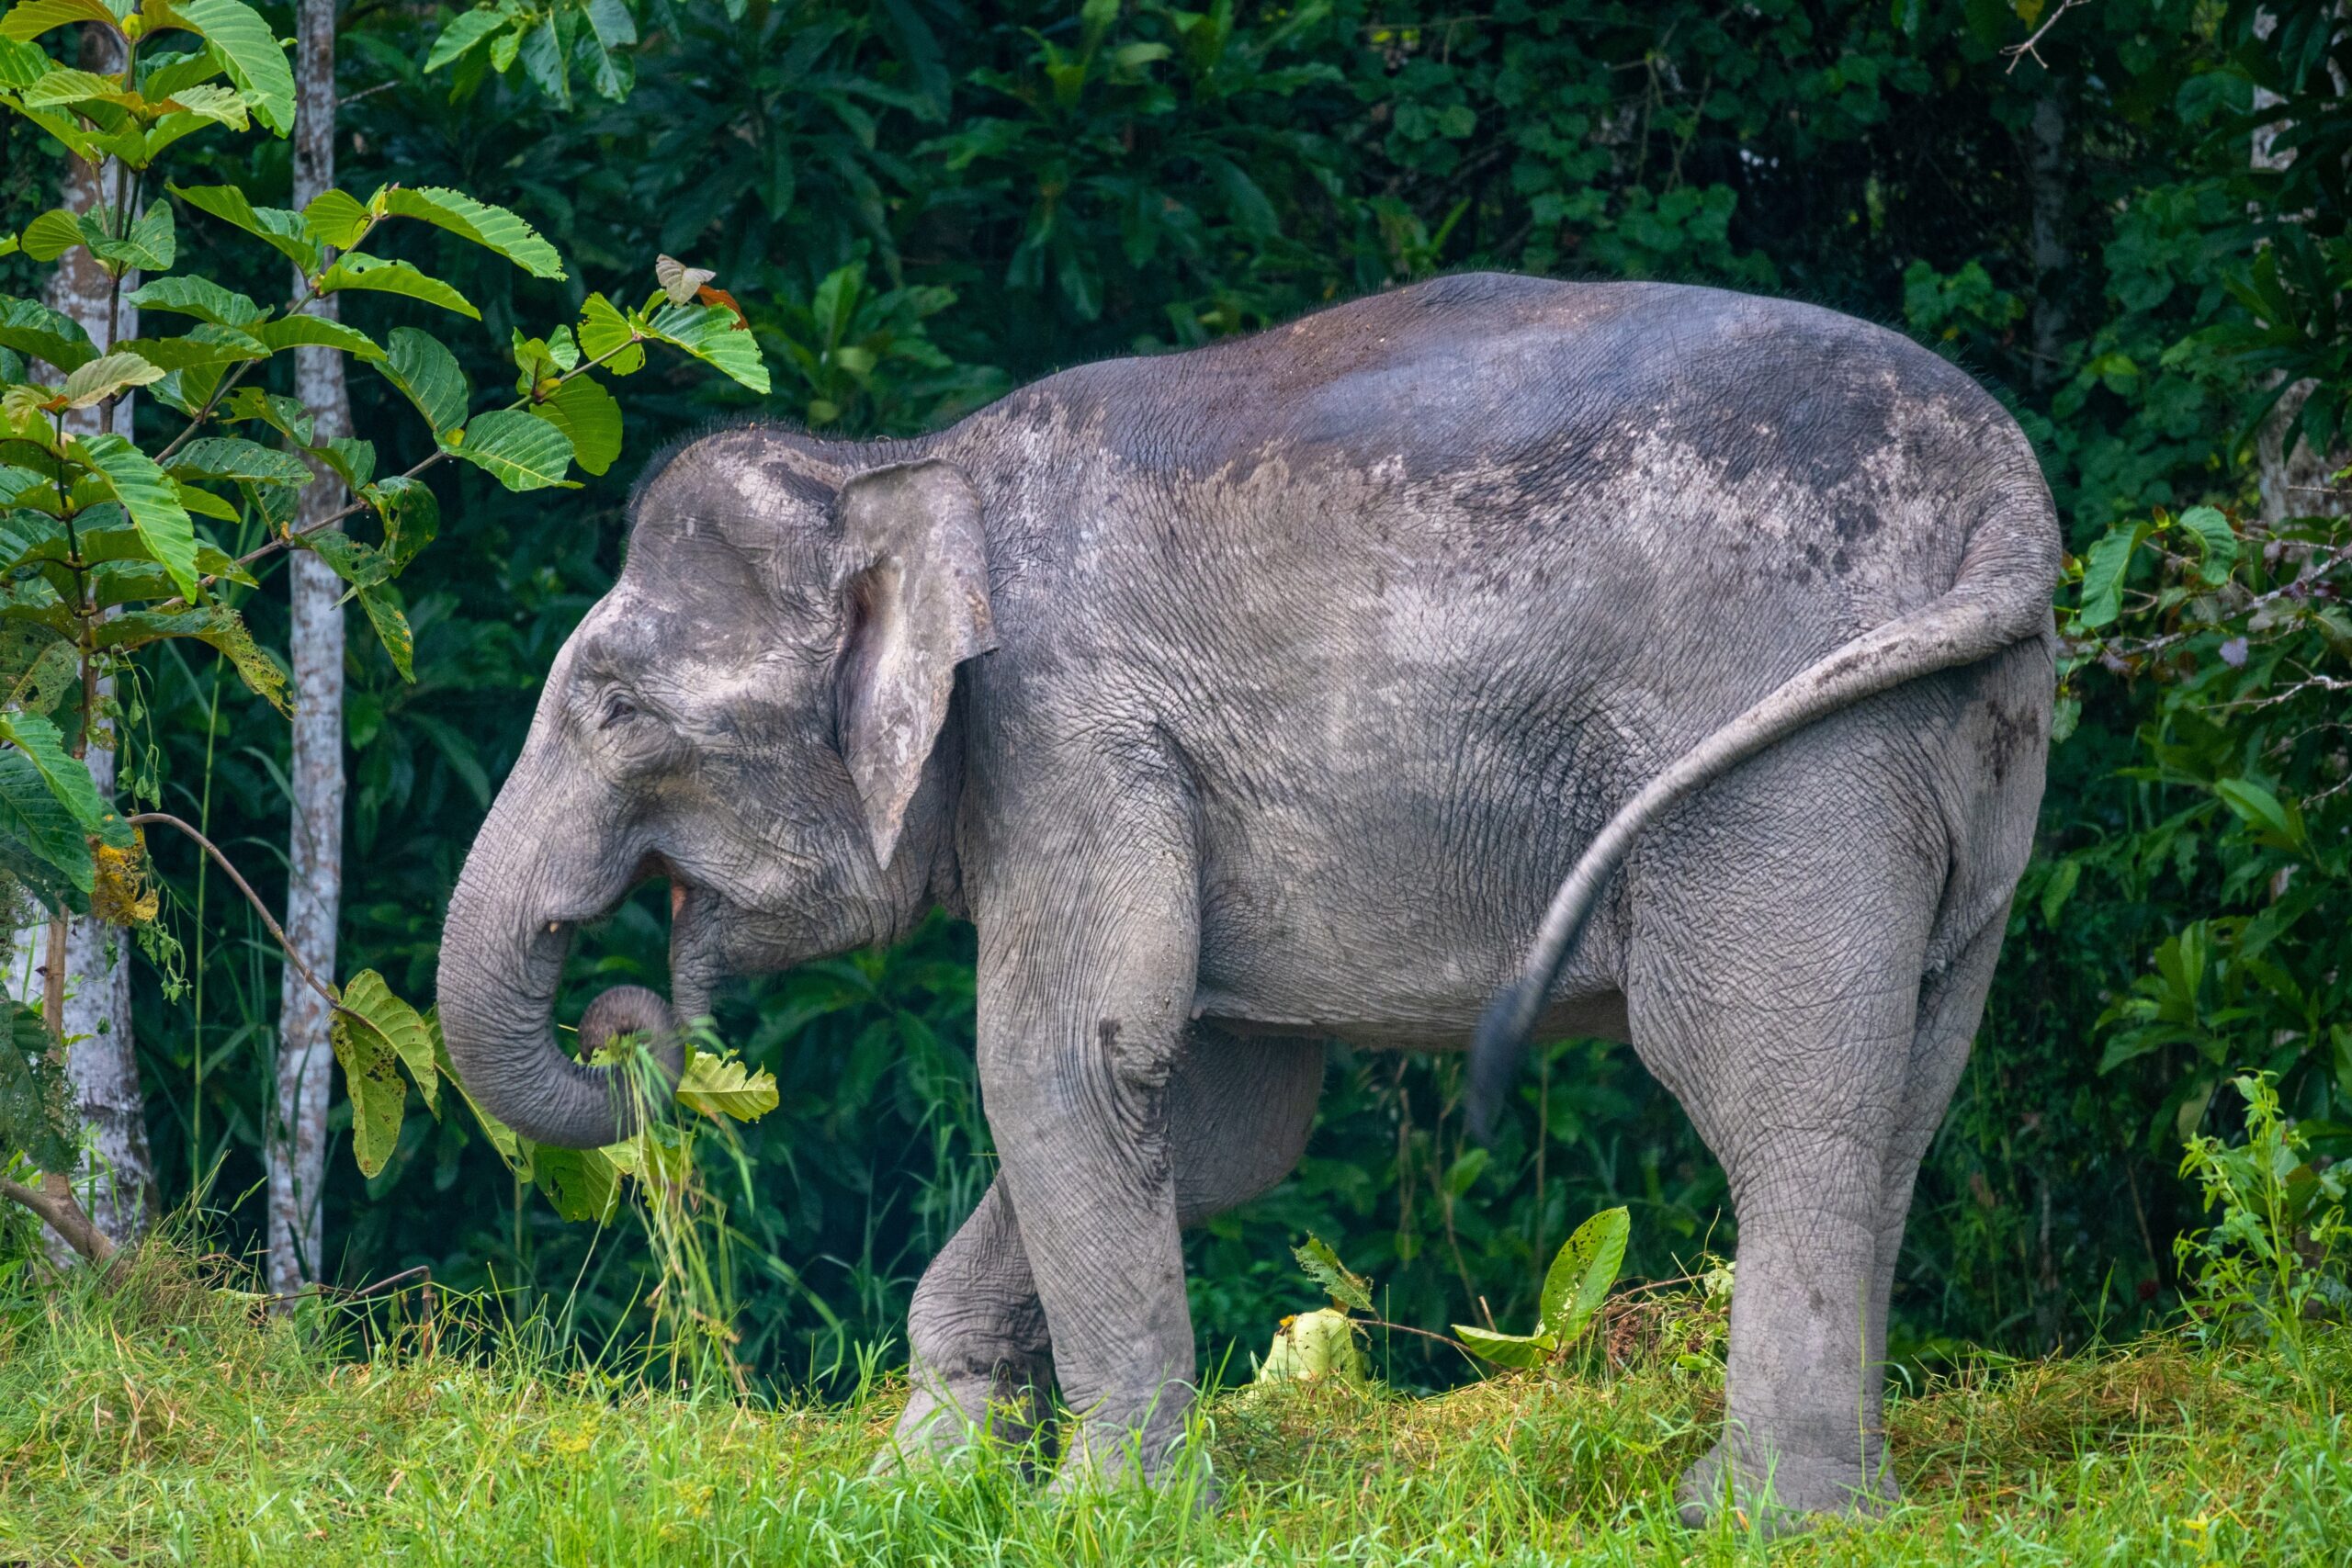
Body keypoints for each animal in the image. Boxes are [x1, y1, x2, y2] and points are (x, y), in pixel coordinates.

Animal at [442, 272, 2060, 1532]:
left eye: (614, 706)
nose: (626, 1015)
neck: (905, 465)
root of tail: (2011, 498)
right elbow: (1216, 1120)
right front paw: (923, 1478)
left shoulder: (1068, 726)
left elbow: (1063, 1064)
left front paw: (1104, 1513)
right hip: (1976, 758)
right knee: (1906, 1096)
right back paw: (1834, 1502)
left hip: (1789, 771)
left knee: (1777, 1098)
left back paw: (1759, 1519)